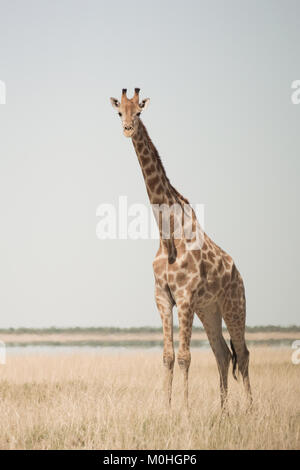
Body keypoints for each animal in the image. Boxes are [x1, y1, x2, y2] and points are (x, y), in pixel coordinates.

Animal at [109, 87, 251, 408]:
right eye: (119, 112)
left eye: (139, 112)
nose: (127, 129)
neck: (167, 233)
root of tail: (238, 273)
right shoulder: (163, 297)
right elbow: (167, 356)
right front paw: (167, 409)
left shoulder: (185, 297)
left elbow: (185, 357)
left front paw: (184, 412)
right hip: (209, 310)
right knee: (223, 354)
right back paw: (223, 412)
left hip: (234, 305)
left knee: (243, 353)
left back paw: (251, 409)